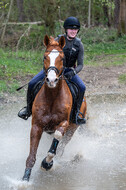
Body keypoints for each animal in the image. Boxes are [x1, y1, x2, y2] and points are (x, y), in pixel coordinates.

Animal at [22, 34, 86, 181]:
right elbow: (31, 156)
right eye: (45, 57)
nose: (51, 80)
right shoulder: (37, 125)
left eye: (62, 58)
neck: (52, 97)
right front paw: (25, 179)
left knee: (61, 148)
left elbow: (56, 141)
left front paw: (46, 163)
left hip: (73, 128)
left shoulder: (64, 124)